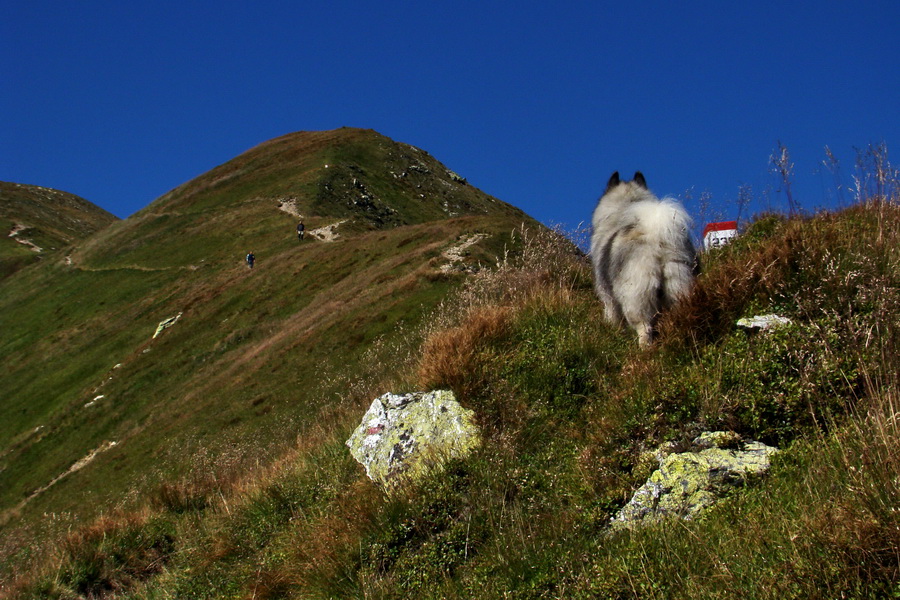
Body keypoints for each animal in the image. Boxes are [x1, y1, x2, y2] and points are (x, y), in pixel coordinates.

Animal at [592, 170, 696, 346]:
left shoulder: (607, 294)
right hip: (678, 282)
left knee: (644, 327)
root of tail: (655, 235)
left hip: (636, 295)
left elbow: (612, 315)